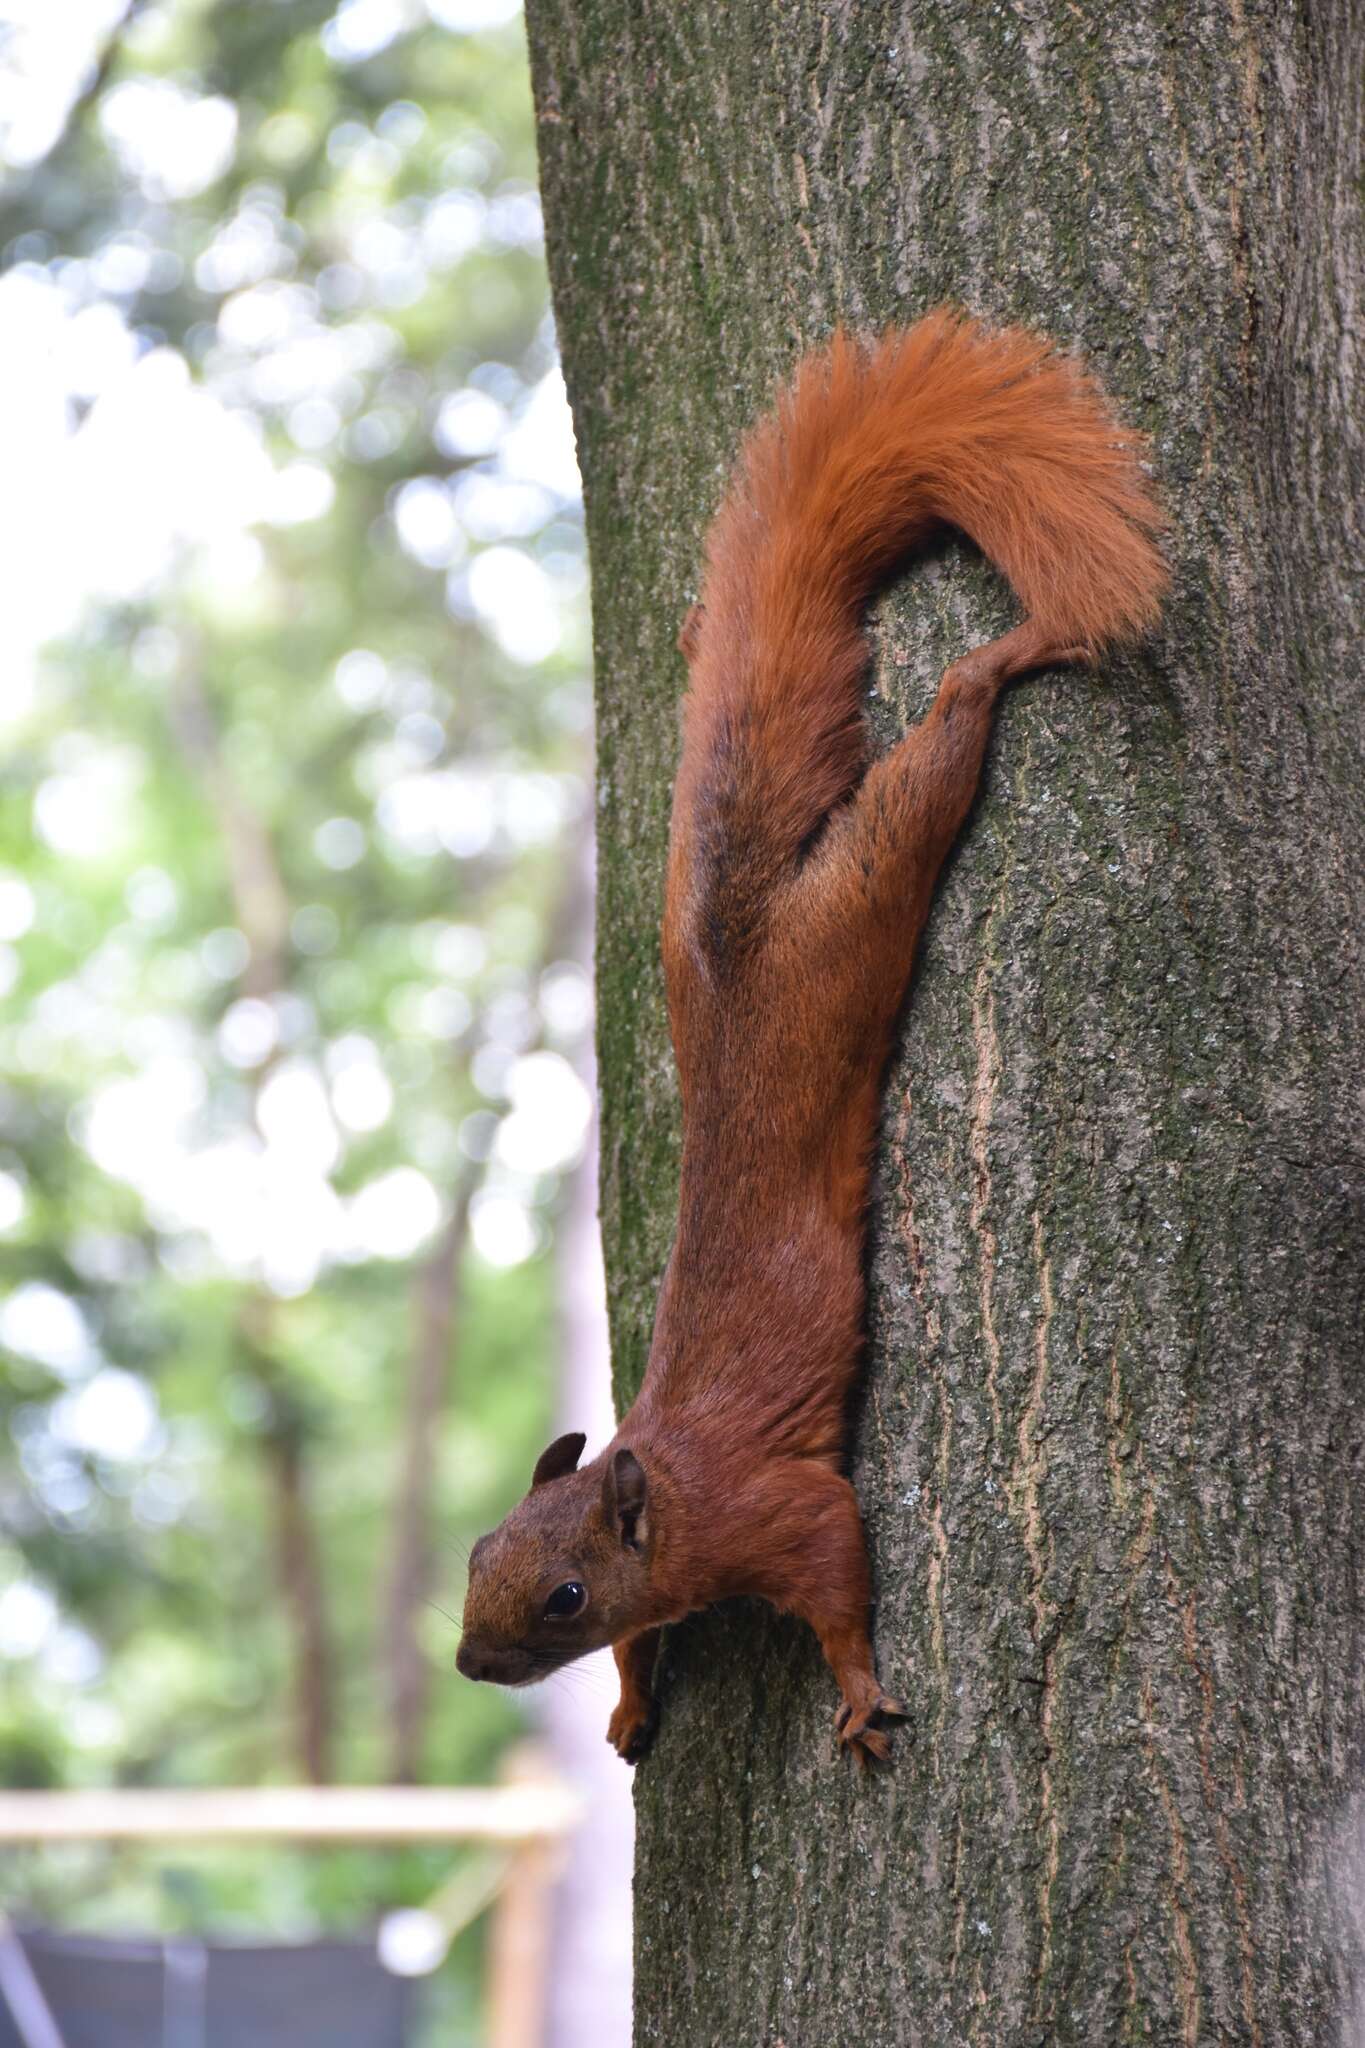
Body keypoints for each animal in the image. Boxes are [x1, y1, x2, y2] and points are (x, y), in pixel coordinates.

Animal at [456, 307, 1162, 1761]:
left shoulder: (773, 1506)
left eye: (560, 1594)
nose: (467, 1661)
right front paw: (627, 1708)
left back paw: (1002, 662)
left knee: (943, 743)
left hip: (870, 893)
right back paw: (697, 633)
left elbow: (837, 1571)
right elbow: (652, 1642)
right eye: (477, 1549)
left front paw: (857, 1693)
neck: (662, 1482)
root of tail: (735, 951)